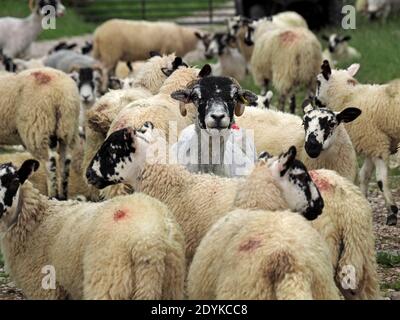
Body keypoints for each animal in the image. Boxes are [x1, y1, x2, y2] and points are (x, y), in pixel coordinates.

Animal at [0, 67, 80, 200]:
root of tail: (61, 93)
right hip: (68, 128)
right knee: (65, 161)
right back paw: (63, 196)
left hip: (38, 126)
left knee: (50, 162)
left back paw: (53, 195)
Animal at [0, 160, 186, 300]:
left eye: (14, 182)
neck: (37, 221)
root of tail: (150, 243)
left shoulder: (45, 288)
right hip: (170, 284)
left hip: (109, 281)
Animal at [316, 60, 400, 225]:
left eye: (318, 82)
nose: (315, 102)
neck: (349, 97)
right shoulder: (372, 144)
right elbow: (364, 175)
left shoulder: (375, 143)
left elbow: (380, 180)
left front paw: (392, 211)